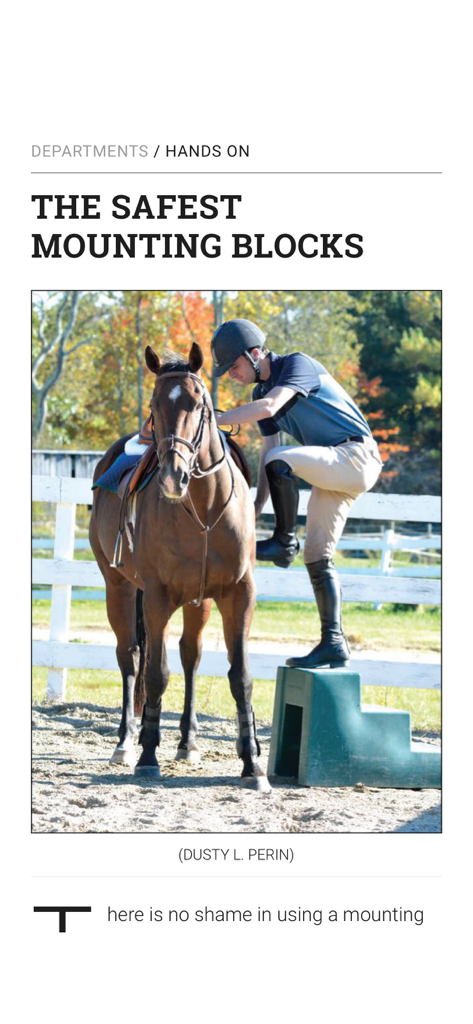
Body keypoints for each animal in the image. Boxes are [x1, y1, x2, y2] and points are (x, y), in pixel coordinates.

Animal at [89, 341, 270, 791]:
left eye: (198, 403)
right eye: (155, 404)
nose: (173, 477)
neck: (203, 508)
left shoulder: (238, 594)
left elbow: (240, 676)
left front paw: (252, 763)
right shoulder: (157, 597)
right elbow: (155, 674)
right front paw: (147, 755)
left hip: (198, 601)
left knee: (191, 656)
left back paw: (187, 742)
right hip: (118, 587)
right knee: (130, 656)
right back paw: (126, 741)